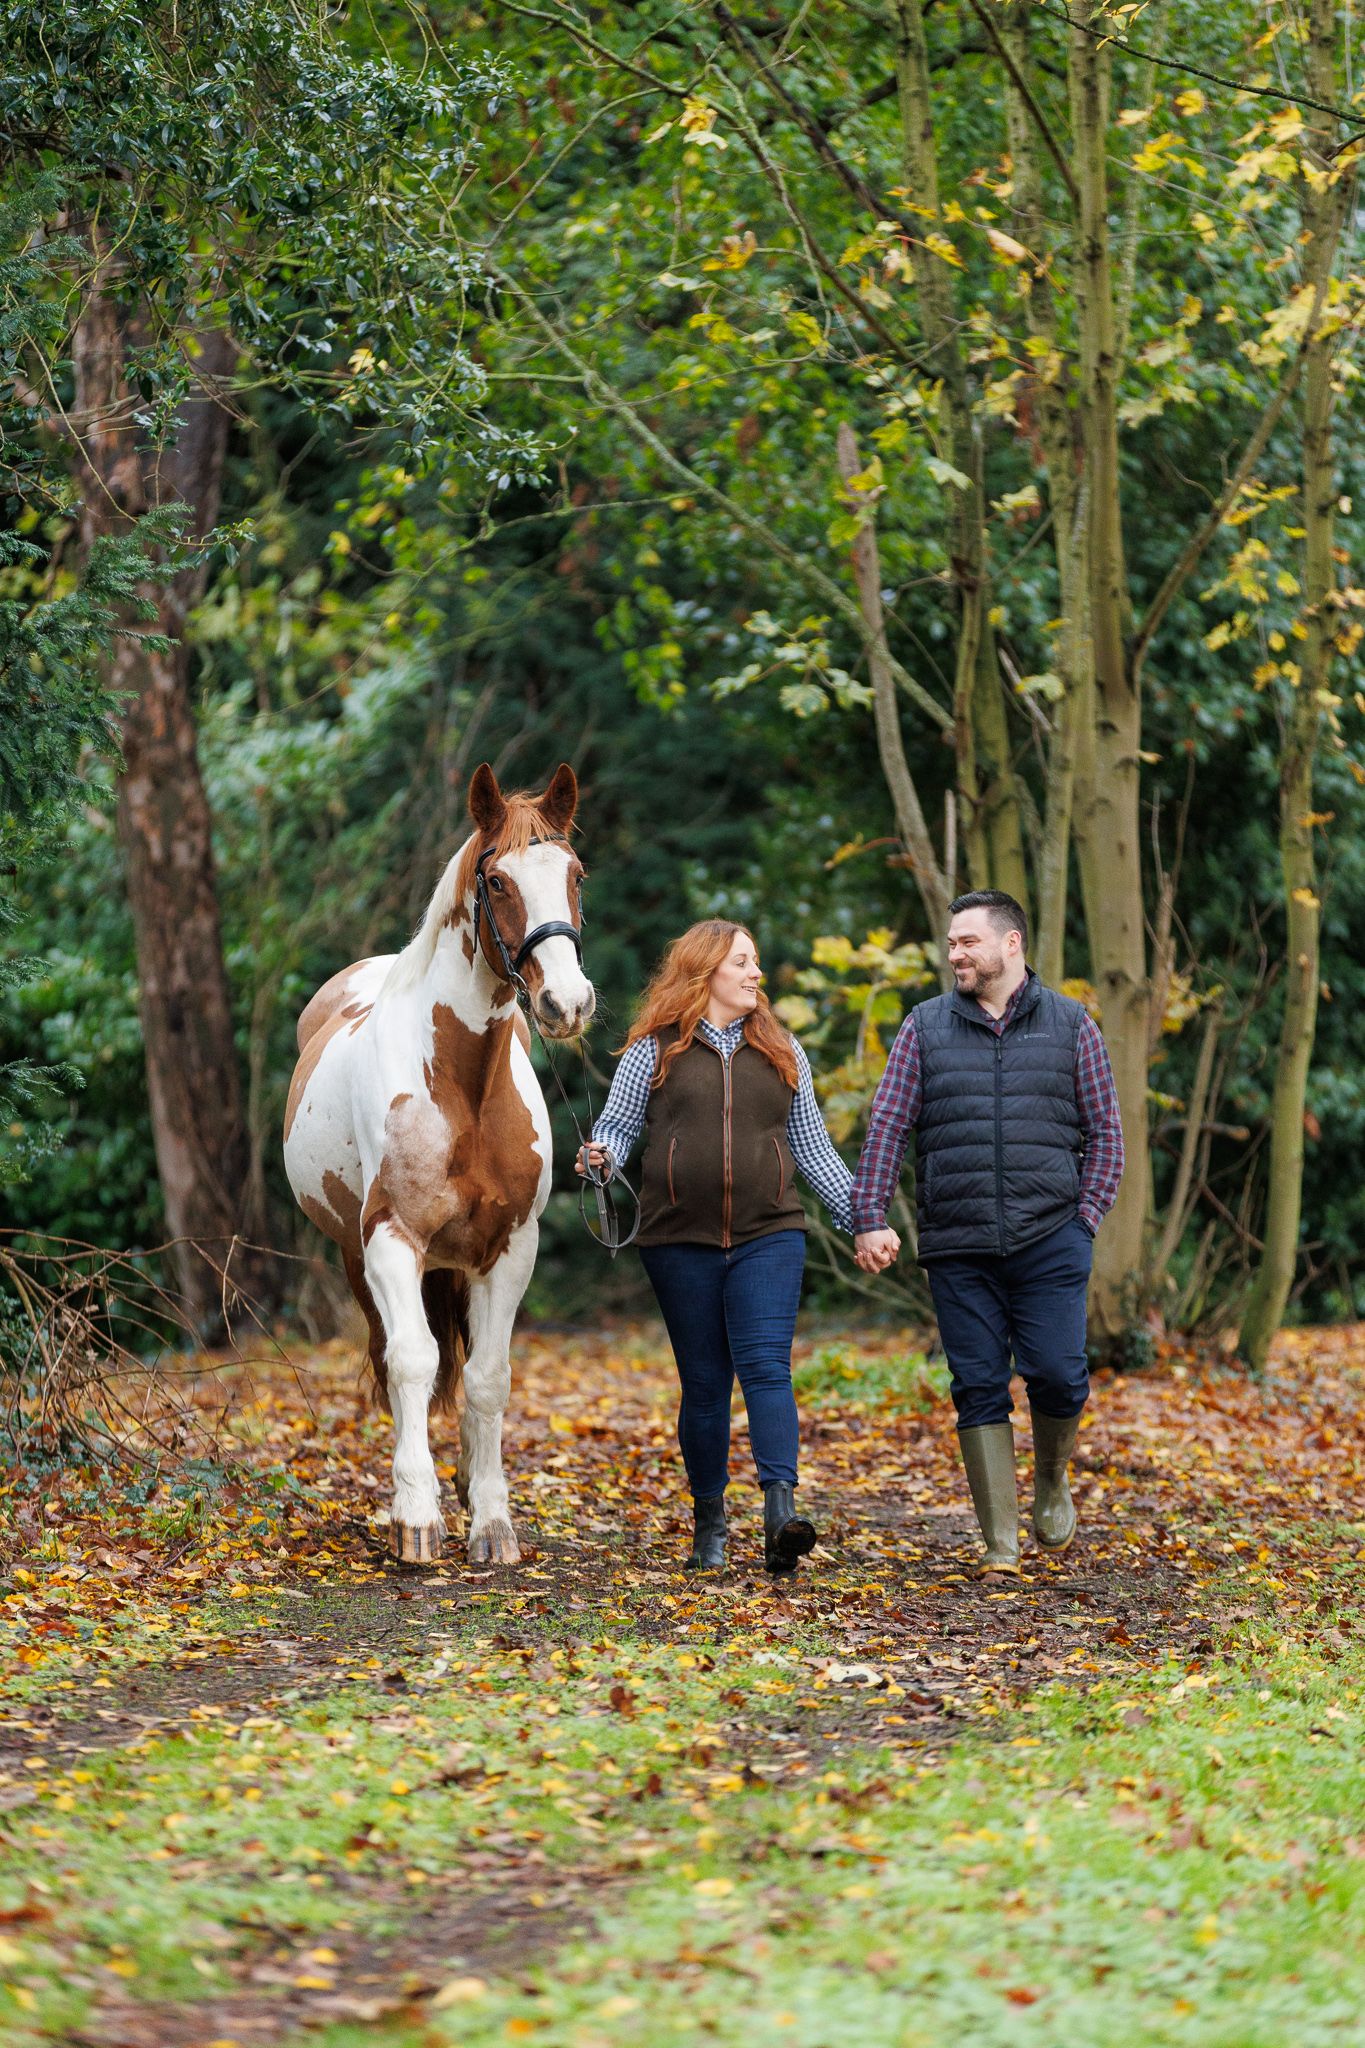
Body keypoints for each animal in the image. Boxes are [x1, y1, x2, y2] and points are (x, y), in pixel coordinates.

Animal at [283, 762, 594, 1565]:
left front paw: (490, 1522)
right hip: (357, 1257)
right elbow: (413, 1364)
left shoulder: (509, 1248)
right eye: (498, 881)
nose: (567, 1003)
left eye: (575, 873)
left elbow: (487, 1377)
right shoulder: (392, 1243)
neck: (463, 1085)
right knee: (395, 1356)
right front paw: (416, 1520)